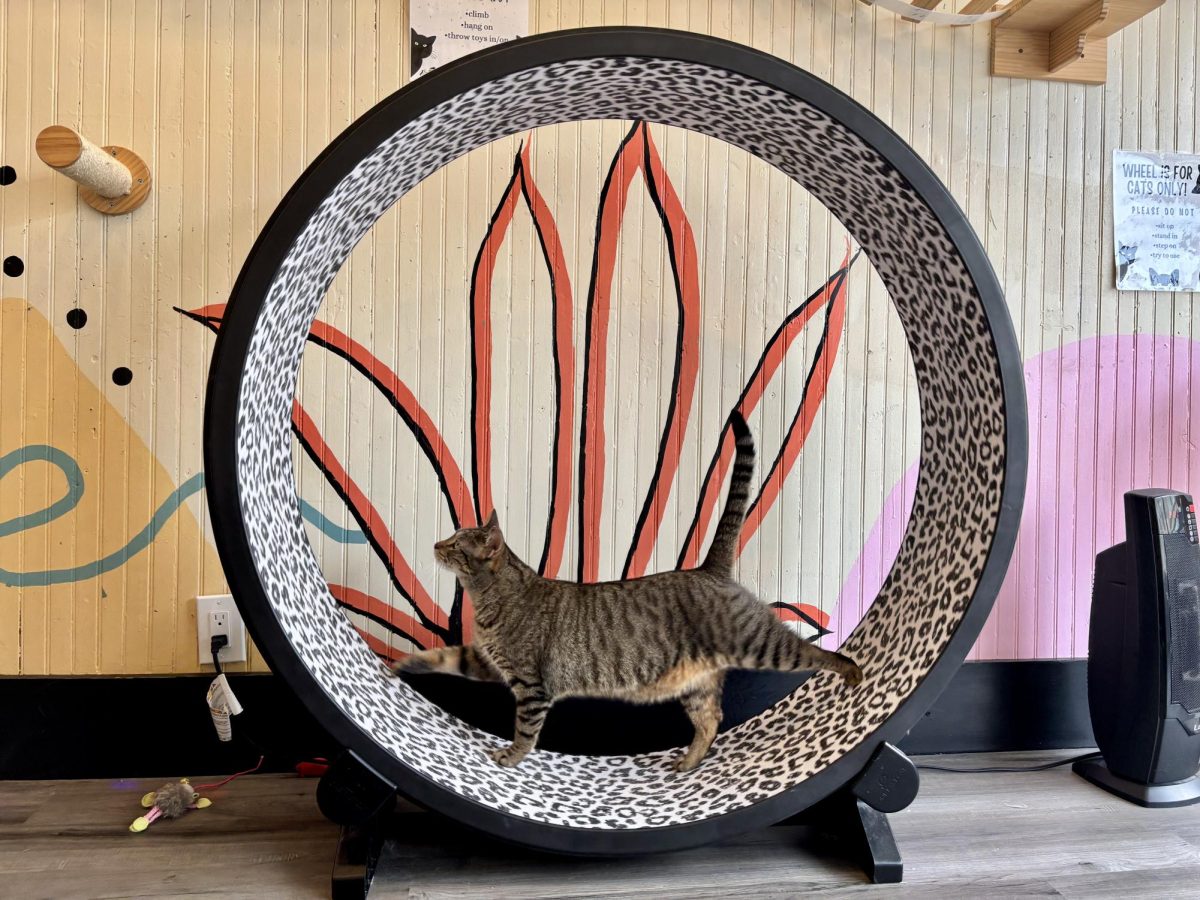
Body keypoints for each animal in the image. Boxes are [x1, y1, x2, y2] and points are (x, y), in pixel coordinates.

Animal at [393, 412, 864, 772]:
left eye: (457, 544)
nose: (436, 544)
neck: (490, 597)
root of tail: (707, 567)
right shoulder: (487, 661)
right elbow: (442, 656)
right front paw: (401, 665)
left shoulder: (530, 683)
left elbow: (525, 730)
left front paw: (512, 756)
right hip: (696, 684)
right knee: (711, 718)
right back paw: (689, 761)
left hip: (758, 642)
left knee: (813, 652)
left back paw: (852, 671)